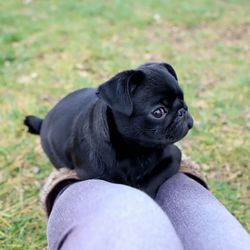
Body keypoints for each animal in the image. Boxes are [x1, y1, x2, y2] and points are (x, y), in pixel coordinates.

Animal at [24, 62, 193, 197]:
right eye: (158, 112)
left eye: (183, 99)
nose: (182, 111)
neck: (135, 150)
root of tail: (43, 122)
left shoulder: (173, 155)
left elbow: (149, 182)